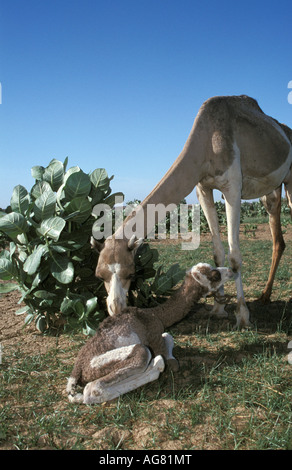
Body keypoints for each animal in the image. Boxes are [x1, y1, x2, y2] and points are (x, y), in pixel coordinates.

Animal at [93, 95, 292, 328]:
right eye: (99, 275)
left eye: (131, 273)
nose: (115, 309)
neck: (207, 144)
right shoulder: (203, 188)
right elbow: (218, 252)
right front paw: (218, 308)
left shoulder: (233, 186)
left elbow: (234, 256)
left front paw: (243, 316)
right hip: (271, 191)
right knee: (277, 235)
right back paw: (265, 296)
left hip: (289, 181)